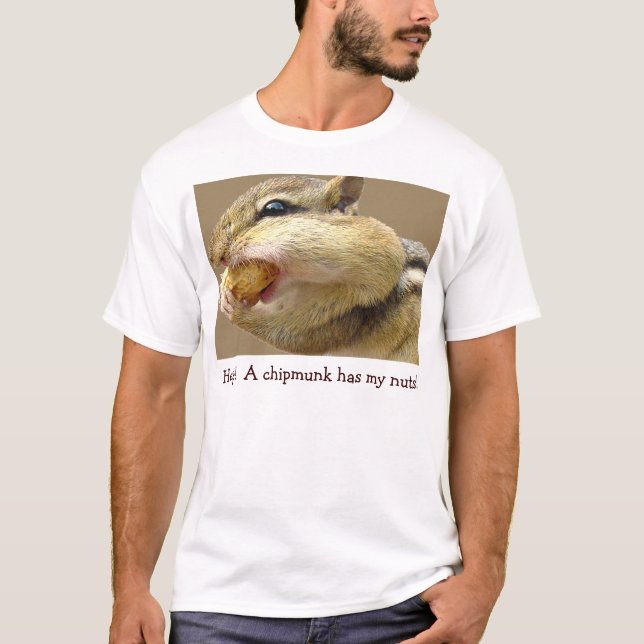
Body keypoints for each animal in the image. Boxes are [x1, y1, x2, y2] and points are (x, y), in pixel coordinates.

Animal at [207, 175, 430, 365]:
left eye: (274, 208)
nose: (216, 255)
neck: (308, 284)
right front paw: (224, 291)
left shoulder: (354, 309)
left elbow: (297, 336)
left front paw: (236, 309)